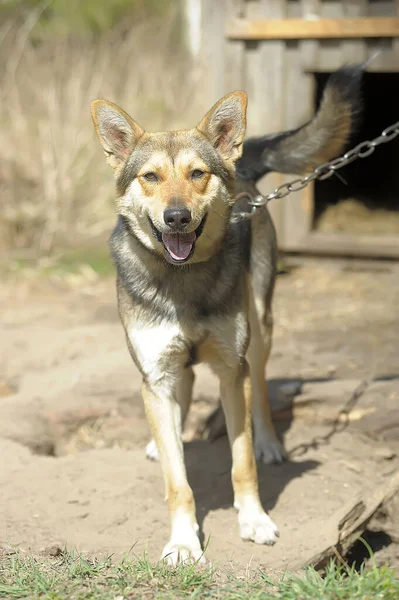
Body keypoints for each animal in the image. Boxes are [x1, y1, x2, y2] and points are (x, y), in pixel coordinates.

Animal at [90, 67, 362, 568]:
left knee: (260, 386)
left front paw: (254, 520)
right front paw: (183, 542)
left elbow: (242, 463)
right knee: (183, 394)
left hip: (260, 330)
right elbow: (178, 483)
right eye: (150, 177)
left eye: (197, 173)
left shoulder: (232, 368)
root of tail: (245, 169)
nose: (177, 218)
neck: (182, 279)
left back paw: (269, 440)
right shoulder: (156, 373)